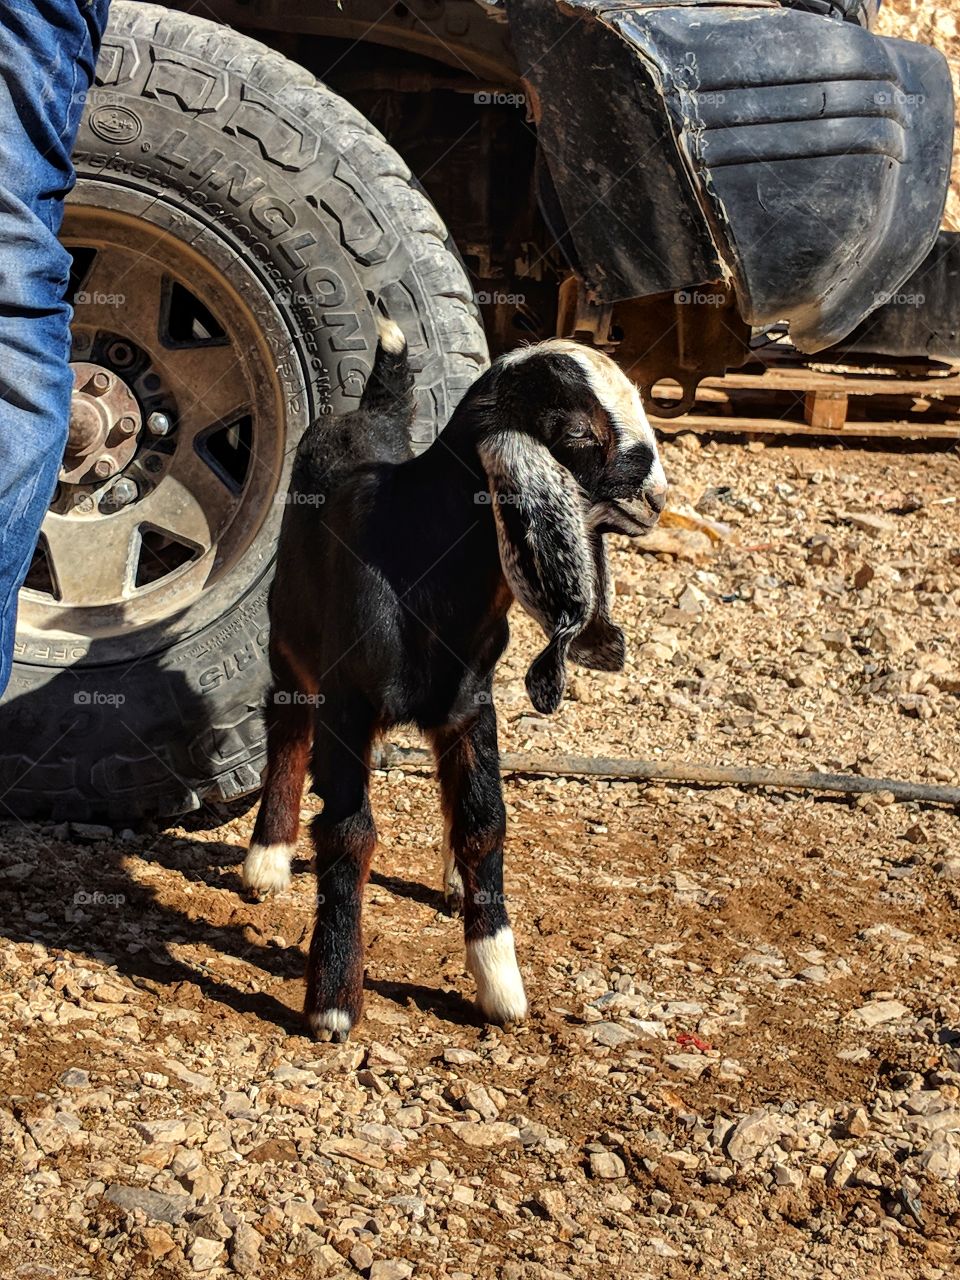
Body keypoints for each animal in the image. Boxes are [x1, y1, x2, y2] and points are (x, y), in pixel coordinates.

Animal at [244, 322, 665, 1039]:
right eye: (579, 434)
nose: (657, 500)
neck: (417, 558)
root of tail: (371, 413)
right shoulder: (346, 703)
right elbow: (349, 834)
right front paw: (332, 1001)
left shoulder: (472, 704)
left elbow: (484, 822)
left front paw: (500, 982)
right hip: (289, 643)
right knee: (286, 726)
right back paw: (267, 859)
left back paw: (454, 883)